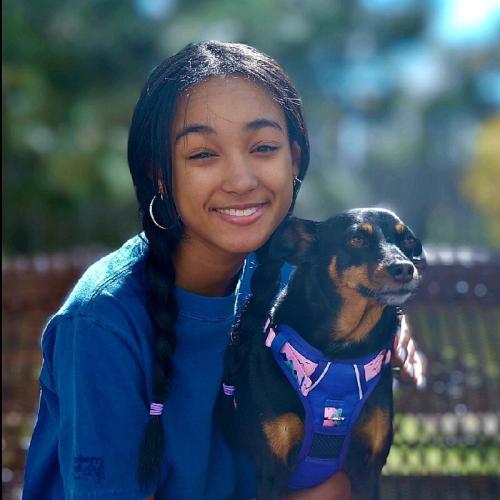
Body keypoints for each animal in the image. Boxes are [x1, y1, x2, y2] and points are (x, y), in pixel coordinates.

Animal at [221, 208, 425, 499]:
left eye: (408, 240)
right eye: (356, 239)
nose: (404, 268)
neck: (341, 354)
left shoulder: (368, 469)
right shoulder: (271, 472)